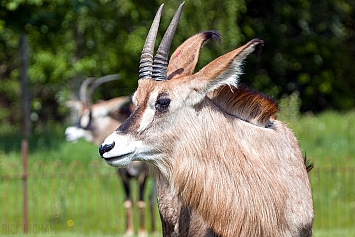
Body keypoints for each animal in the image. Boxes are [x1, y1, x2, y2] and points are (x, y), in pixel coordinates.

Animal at [65, 75, 157, 236]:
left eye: (91, 115)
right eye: (80, 114)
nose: (69, 133)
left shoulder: (142, 175)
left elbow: (140, 202)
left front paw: (142, 232)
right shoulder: (123, 175)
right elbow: (127, 202)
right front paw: (128, 232)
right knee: (152, 199)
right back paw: (153, 229)